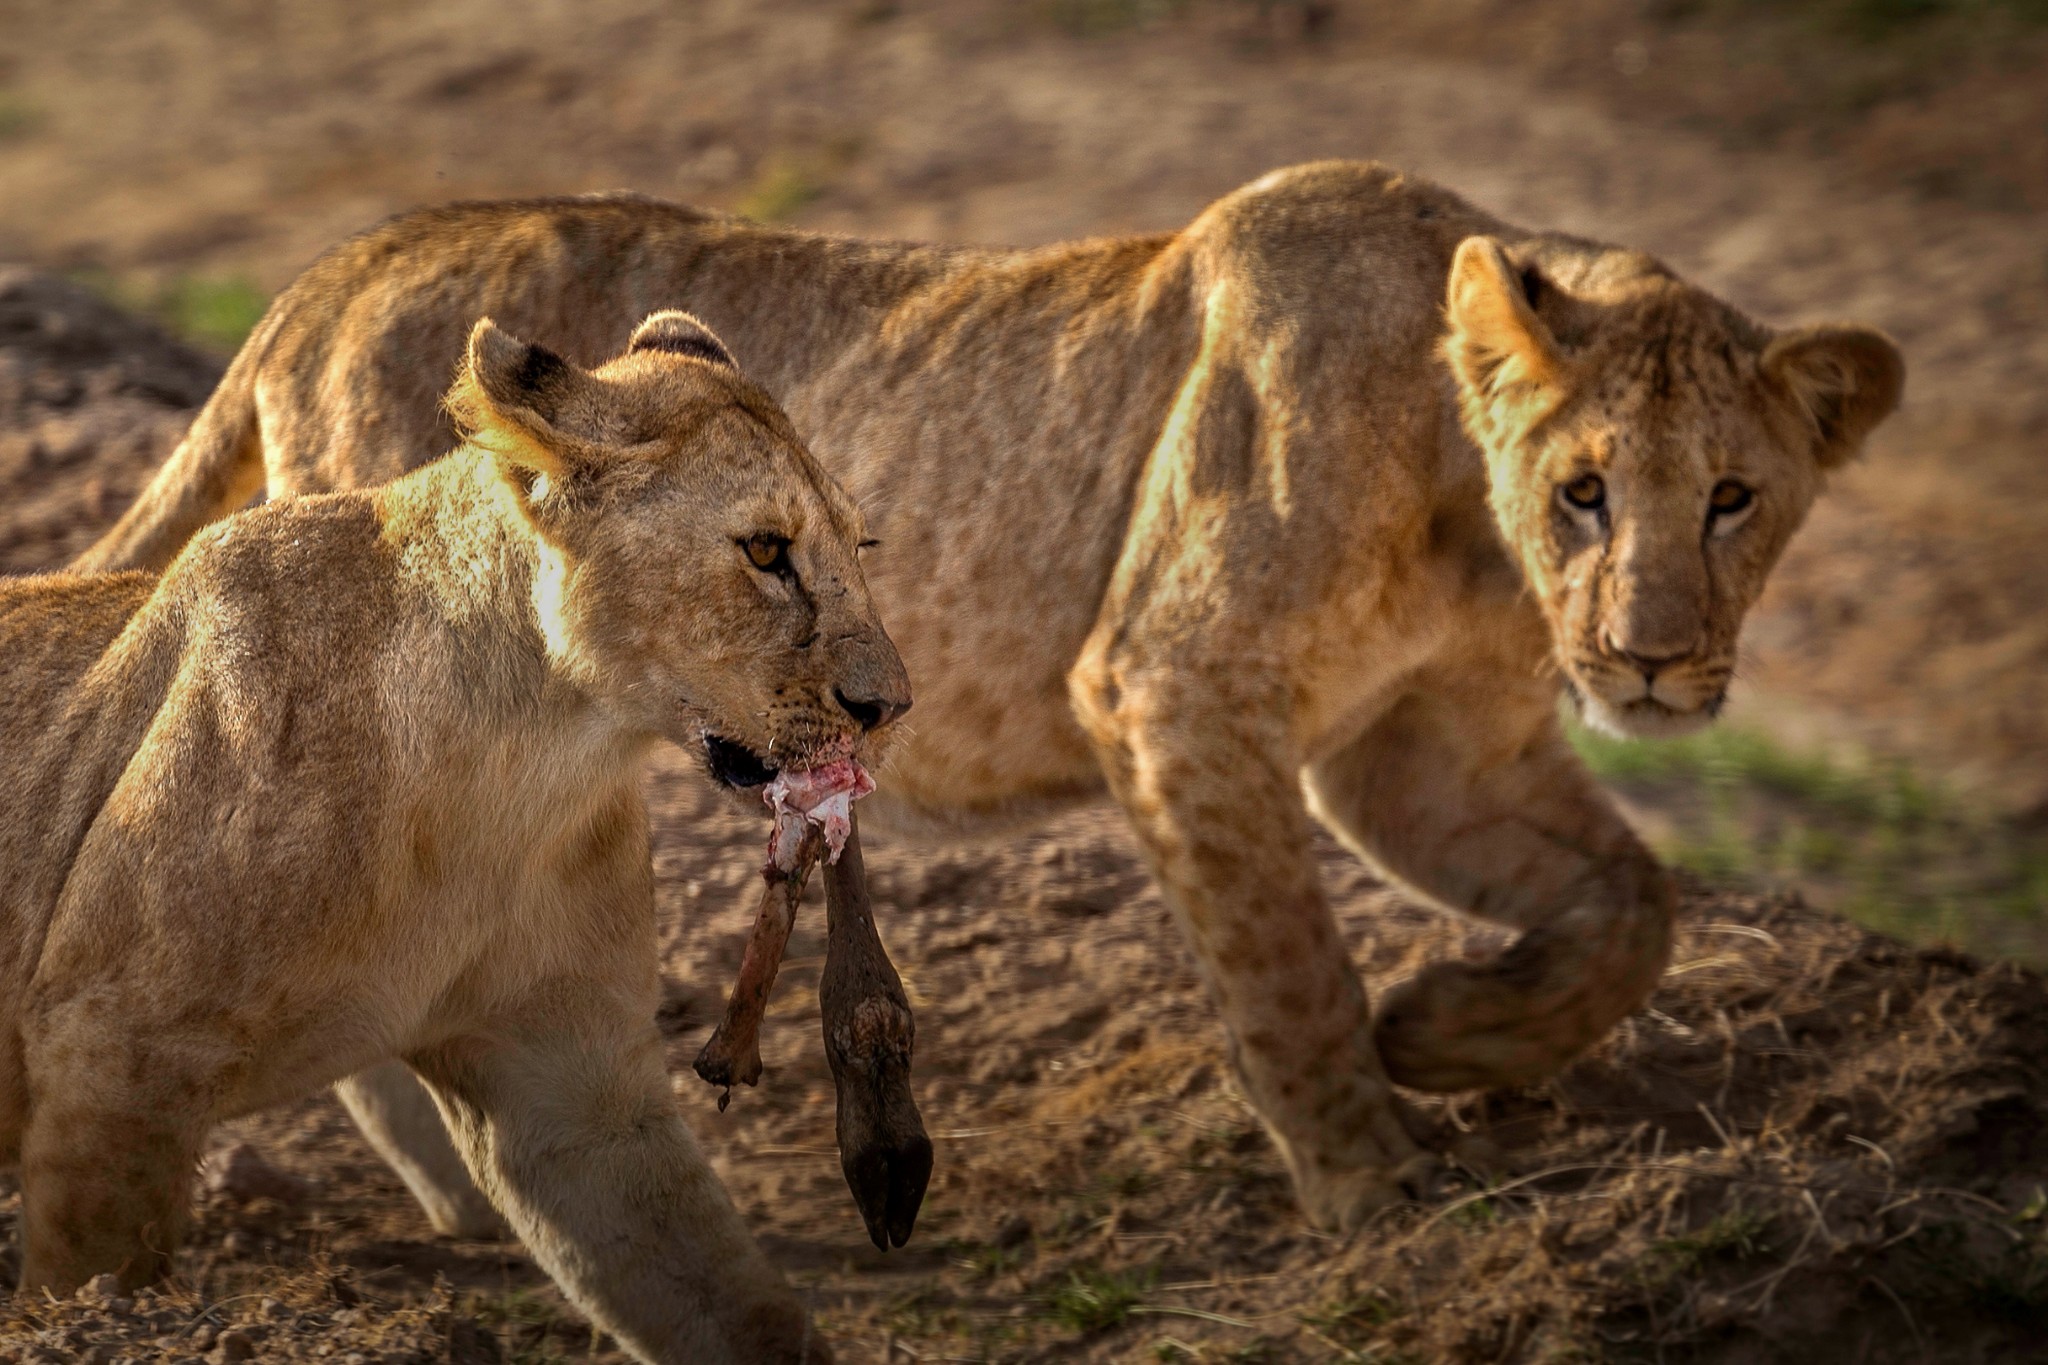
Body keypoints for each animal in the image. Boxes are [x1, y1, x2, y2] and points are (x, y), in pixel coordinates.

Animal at [0, 313, 913, 1365]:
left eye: (863, 542)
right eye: (766, 549)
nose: (893, 706)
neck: (526, 756)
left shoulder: (574, 1084)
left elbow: (732, 1304)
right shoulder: (113, 1054)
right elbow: (88, 1276)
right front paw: (91, 1329)